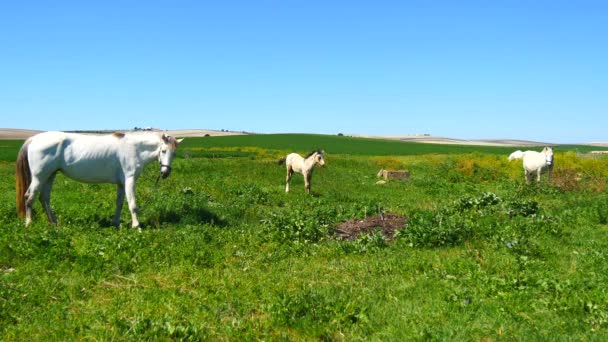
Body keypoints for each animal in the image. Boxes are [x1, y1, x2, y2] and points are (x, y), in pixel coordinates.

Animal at [16, 131, 183, 230]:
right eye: (163, 151)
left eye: (174, 154)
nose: (165, 173)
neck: (134, 148)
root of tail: (33, 139)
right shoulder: (129, 180)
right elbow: (133, 204)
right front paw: (137, 226)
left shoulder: (121, 183)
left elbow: (119, 203)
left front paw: (116, 223)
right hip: (39, 177)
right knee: (29, 197)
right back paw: (29, 223)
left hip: (50, 175)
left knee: (44, 198)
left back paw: (54, 223)